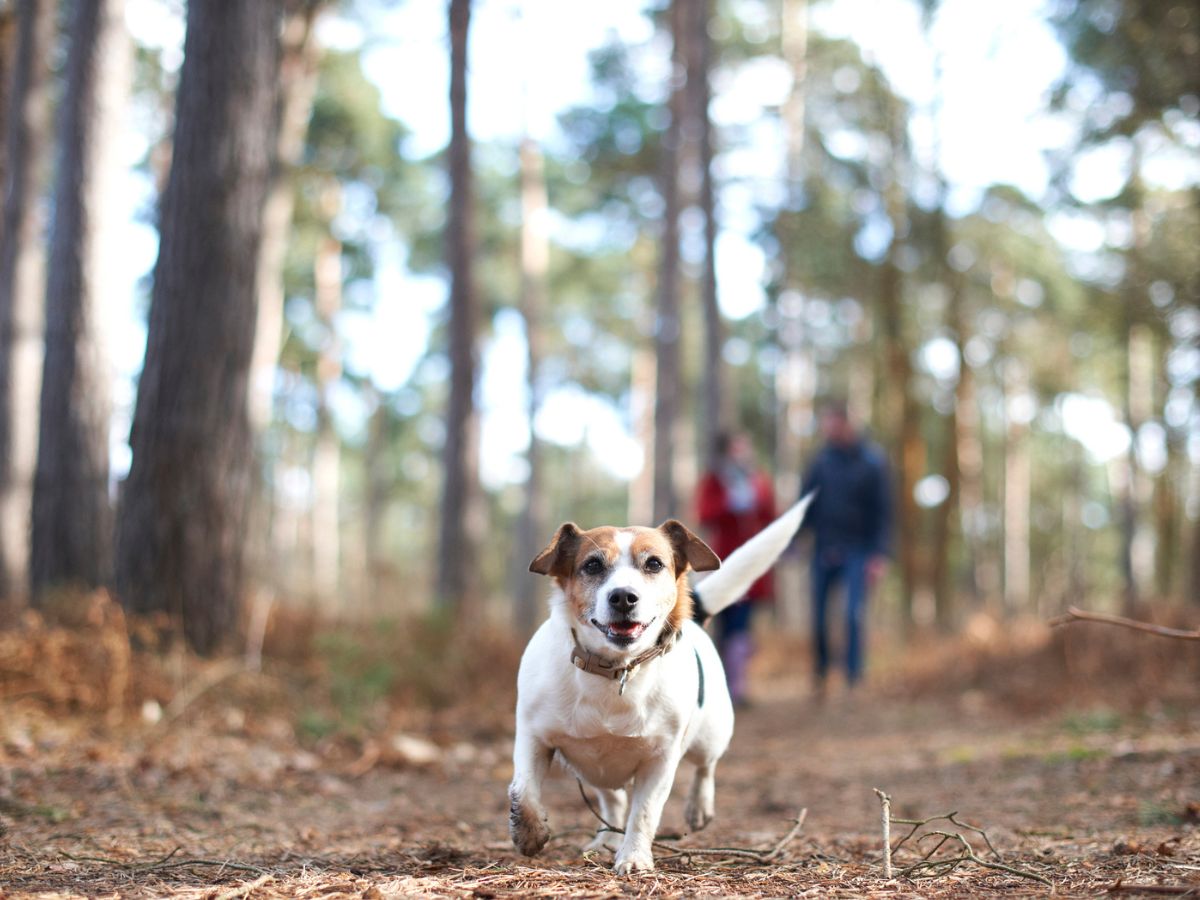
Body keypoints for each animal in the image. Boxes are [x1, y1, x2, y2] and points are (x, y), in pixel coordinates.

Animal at [506, 494, 816, 873]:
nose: (623, 597)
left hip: (712, 734)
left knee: (705, 767)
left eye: (654, 564)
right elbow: (523, 790)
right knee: (613, 803)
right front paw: (529, 833)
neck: (617, 671)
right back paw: (606, 839)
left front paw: (634, 857)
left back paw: (698, 807)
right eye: (592, 565)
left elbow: (644, 813)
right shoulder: (533, 737)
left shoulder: (660, 759)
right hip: (593, 771)